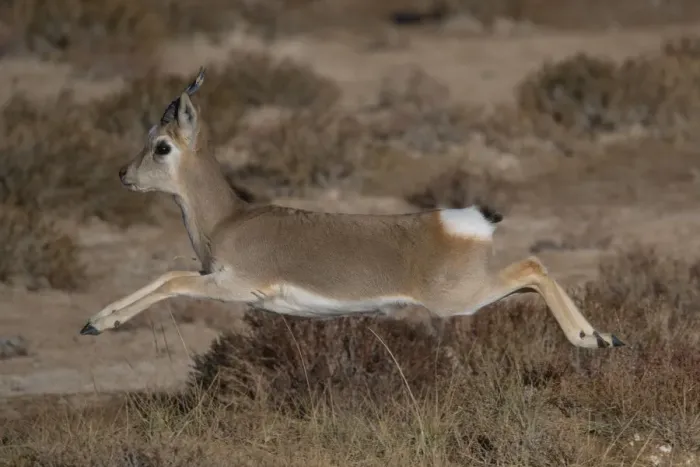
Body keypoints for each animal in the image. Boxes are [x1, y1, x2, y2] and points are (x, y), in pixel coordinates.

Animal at [79, 68, 625, 349]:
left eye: (162, 146)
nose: (124, 175)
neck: (230, 219)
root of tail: (466, 221)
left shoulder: (231, 286)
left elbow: (170, 282)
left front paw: (99, 323)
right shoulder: (211, 274)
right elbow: (164, 276)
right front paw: (94, 321)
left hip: (460, 299)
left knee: (532, 267)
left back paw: (592, 339)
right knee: (532, 271)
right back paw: (601, 338)